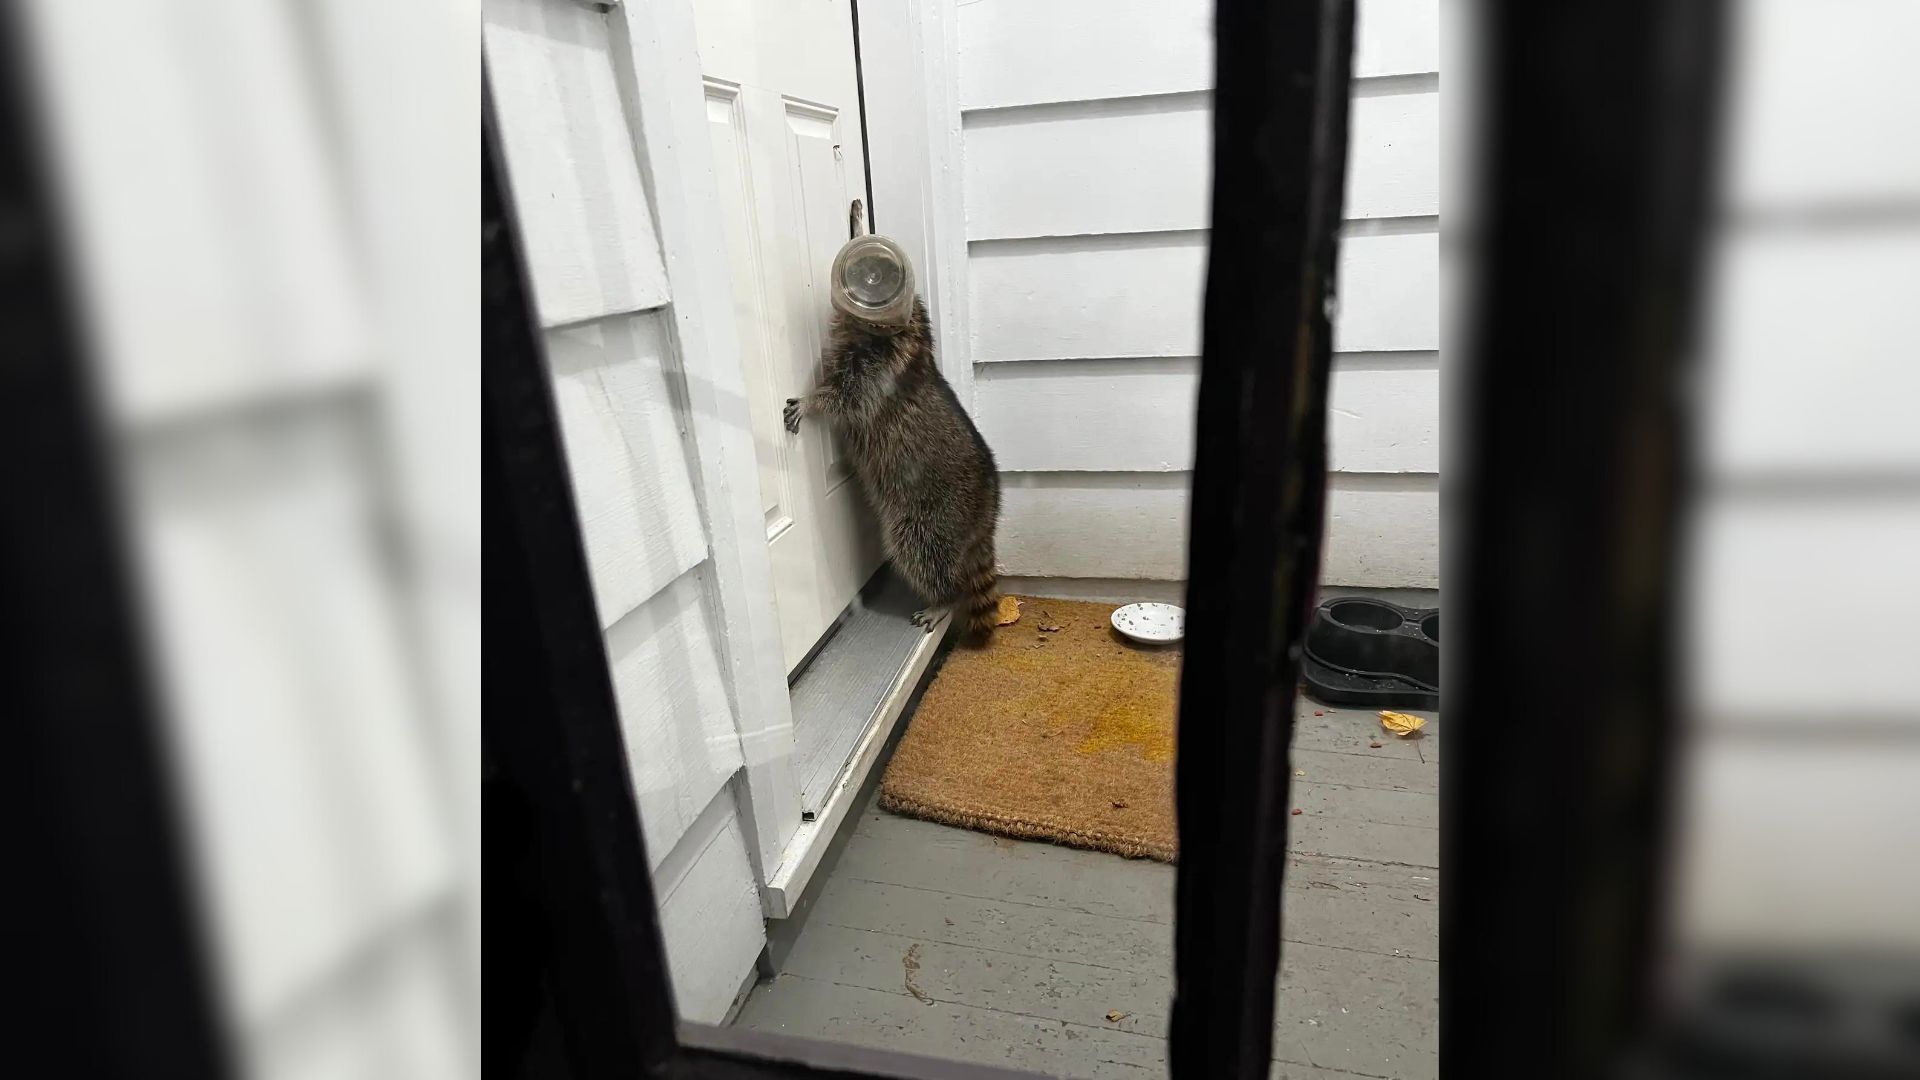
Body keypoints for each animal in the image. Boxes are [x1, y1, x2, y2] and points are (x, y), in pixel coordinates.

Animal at [787, 294, 1013, 638]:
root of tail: (986, 515)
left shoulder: (880, 370)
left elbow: (847, 398)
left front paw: (812, 400)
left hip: (932, 518)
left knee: (920, 551)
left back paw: (945, 599)